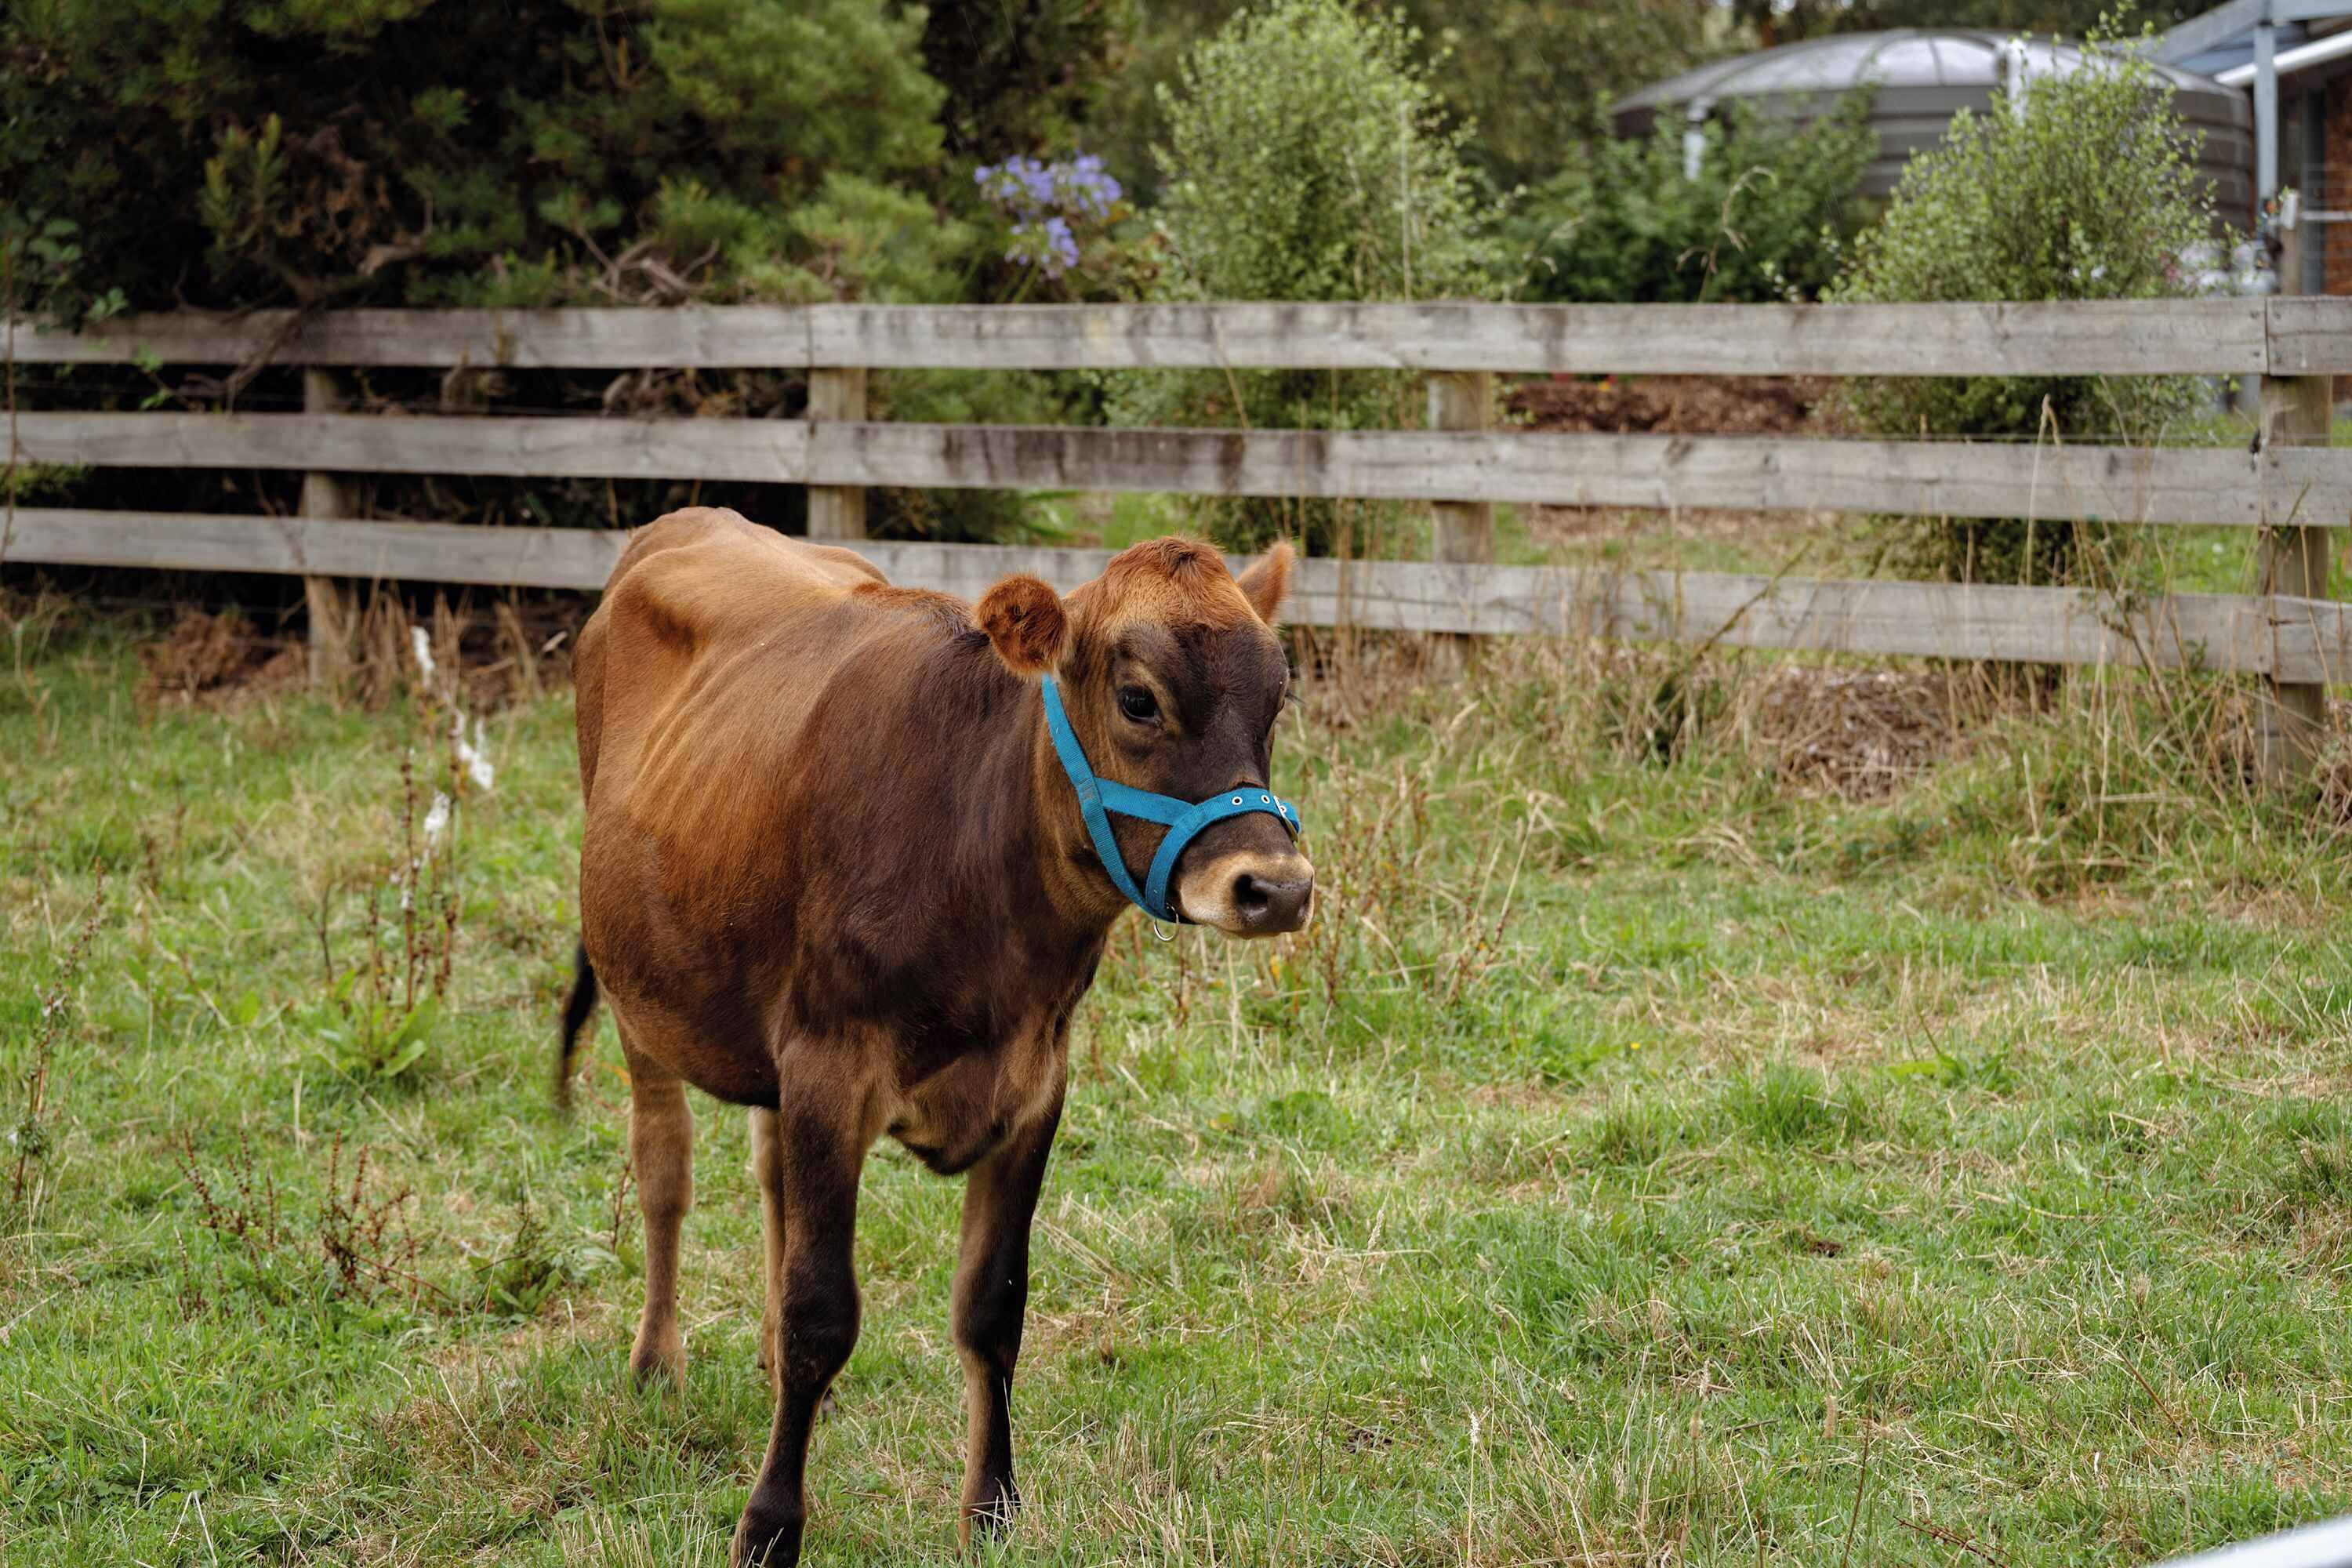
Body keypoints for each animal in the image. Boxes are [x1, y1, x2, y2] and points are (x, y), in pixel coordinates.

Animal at [558, 508, 1314, 1566]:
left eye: (1278, 699)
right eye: (1139, 699)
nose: (1275, 887)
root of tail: (691, 518)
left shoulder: (1036, 1082)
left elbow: (993, 1307)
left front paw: (991, 1505)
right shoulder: (831, 1067)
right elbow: (823, 1311)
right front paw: (769, 1523)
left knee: (770, 1173)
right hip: (640, 992)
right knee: (665, 1169)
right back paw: (656, 1361)